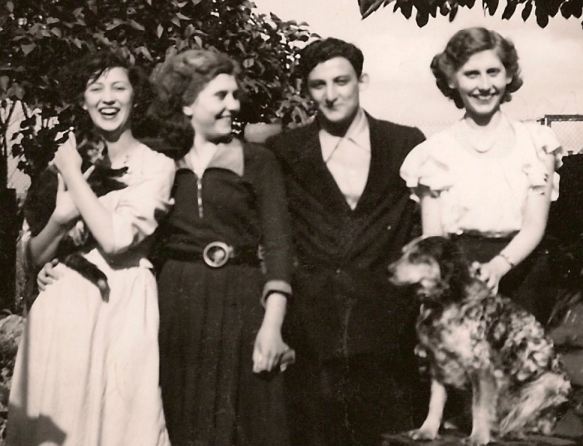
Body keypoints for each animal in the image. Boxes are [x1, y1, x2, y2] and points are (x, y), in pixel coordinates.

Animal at [23, 131, 128, 302]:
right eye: (95, 142)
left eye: (102, 144)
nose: (105, 151)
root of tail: (63, 249)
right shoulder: (89, 178)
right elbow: (104, 180)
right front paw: (121, 184)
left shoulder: (93, 171)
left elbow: (104, 171)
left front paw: (119, 170)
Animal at [388, 236, 571, 445]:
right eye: (404, 253)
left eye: (416, 256)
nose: (388, 271)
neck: (444, 303)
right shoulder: (438, 363)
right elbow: (435, 403)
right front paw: (427, 430)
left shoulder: (481, 368)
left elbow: (480, 407)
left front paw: (478, 436)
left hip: (547, 385)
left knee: (520, 422)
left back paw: (508, 431)